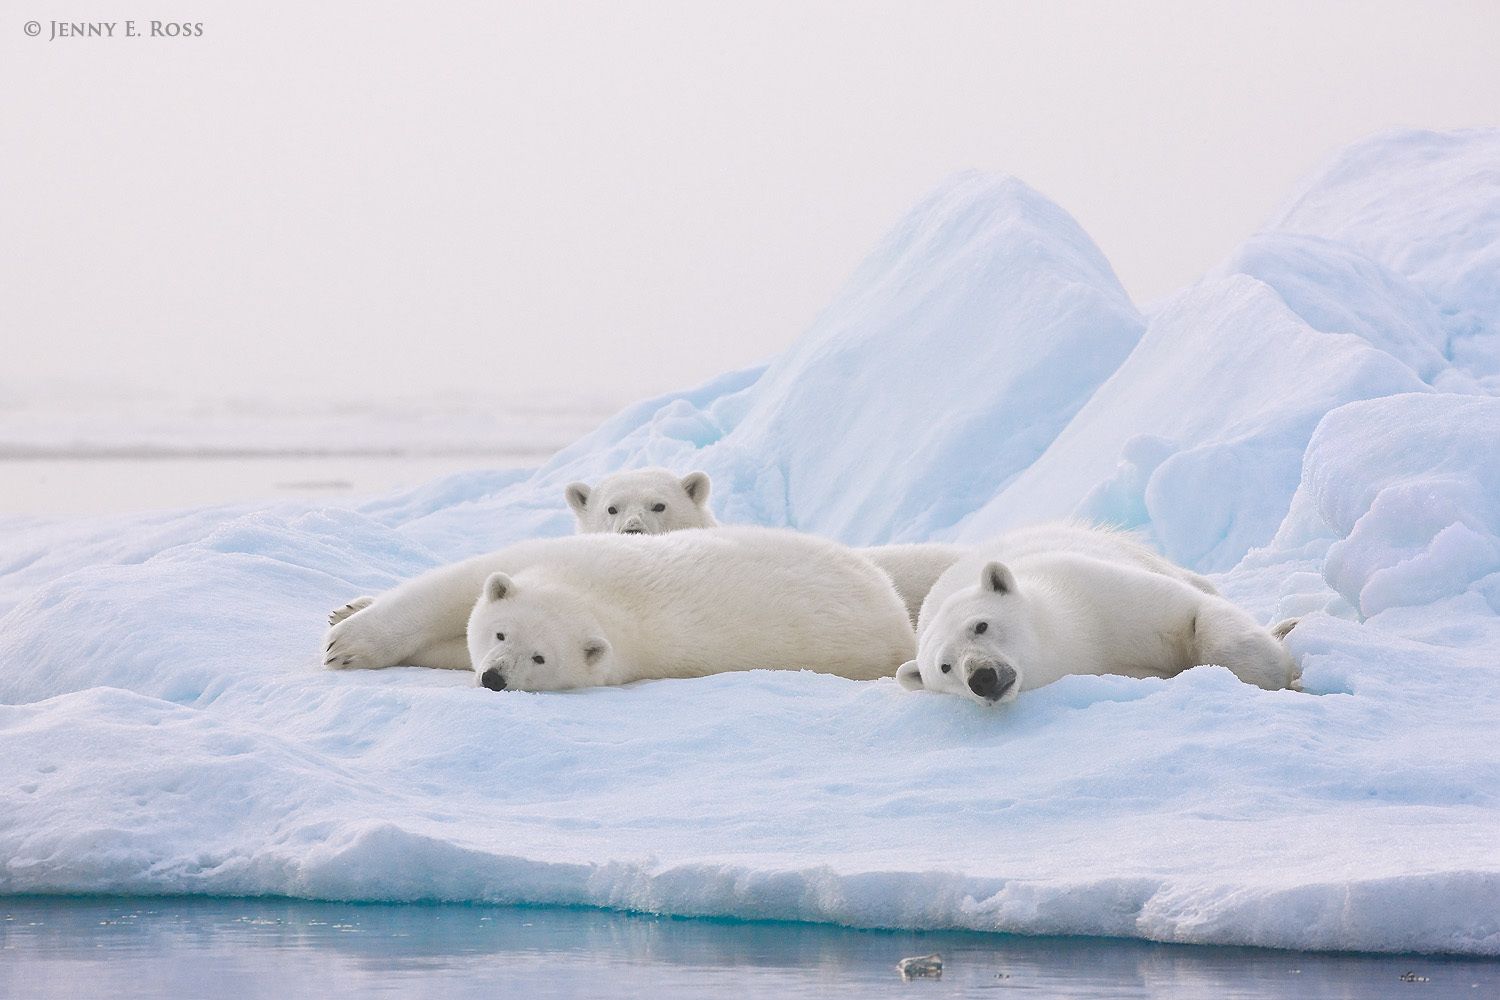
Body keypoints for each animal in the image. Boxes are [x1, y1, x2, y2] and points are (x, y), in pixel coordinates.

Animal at [323, 526, 916, 691]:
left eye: (540, 659)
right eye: (501, 635)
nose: (494, 679)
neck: (603, 590)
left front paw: (347, 646)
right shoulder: (548, 554)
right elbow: (448, 589)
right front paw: (344, 635)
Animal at [896, 523, 1297, 704]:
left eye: (980, 625)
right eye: (944, 666)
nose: (980, 677)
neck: (1075, 637)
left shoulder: (1098, 592)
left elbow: (1192, 614)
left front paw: (1276, 676)